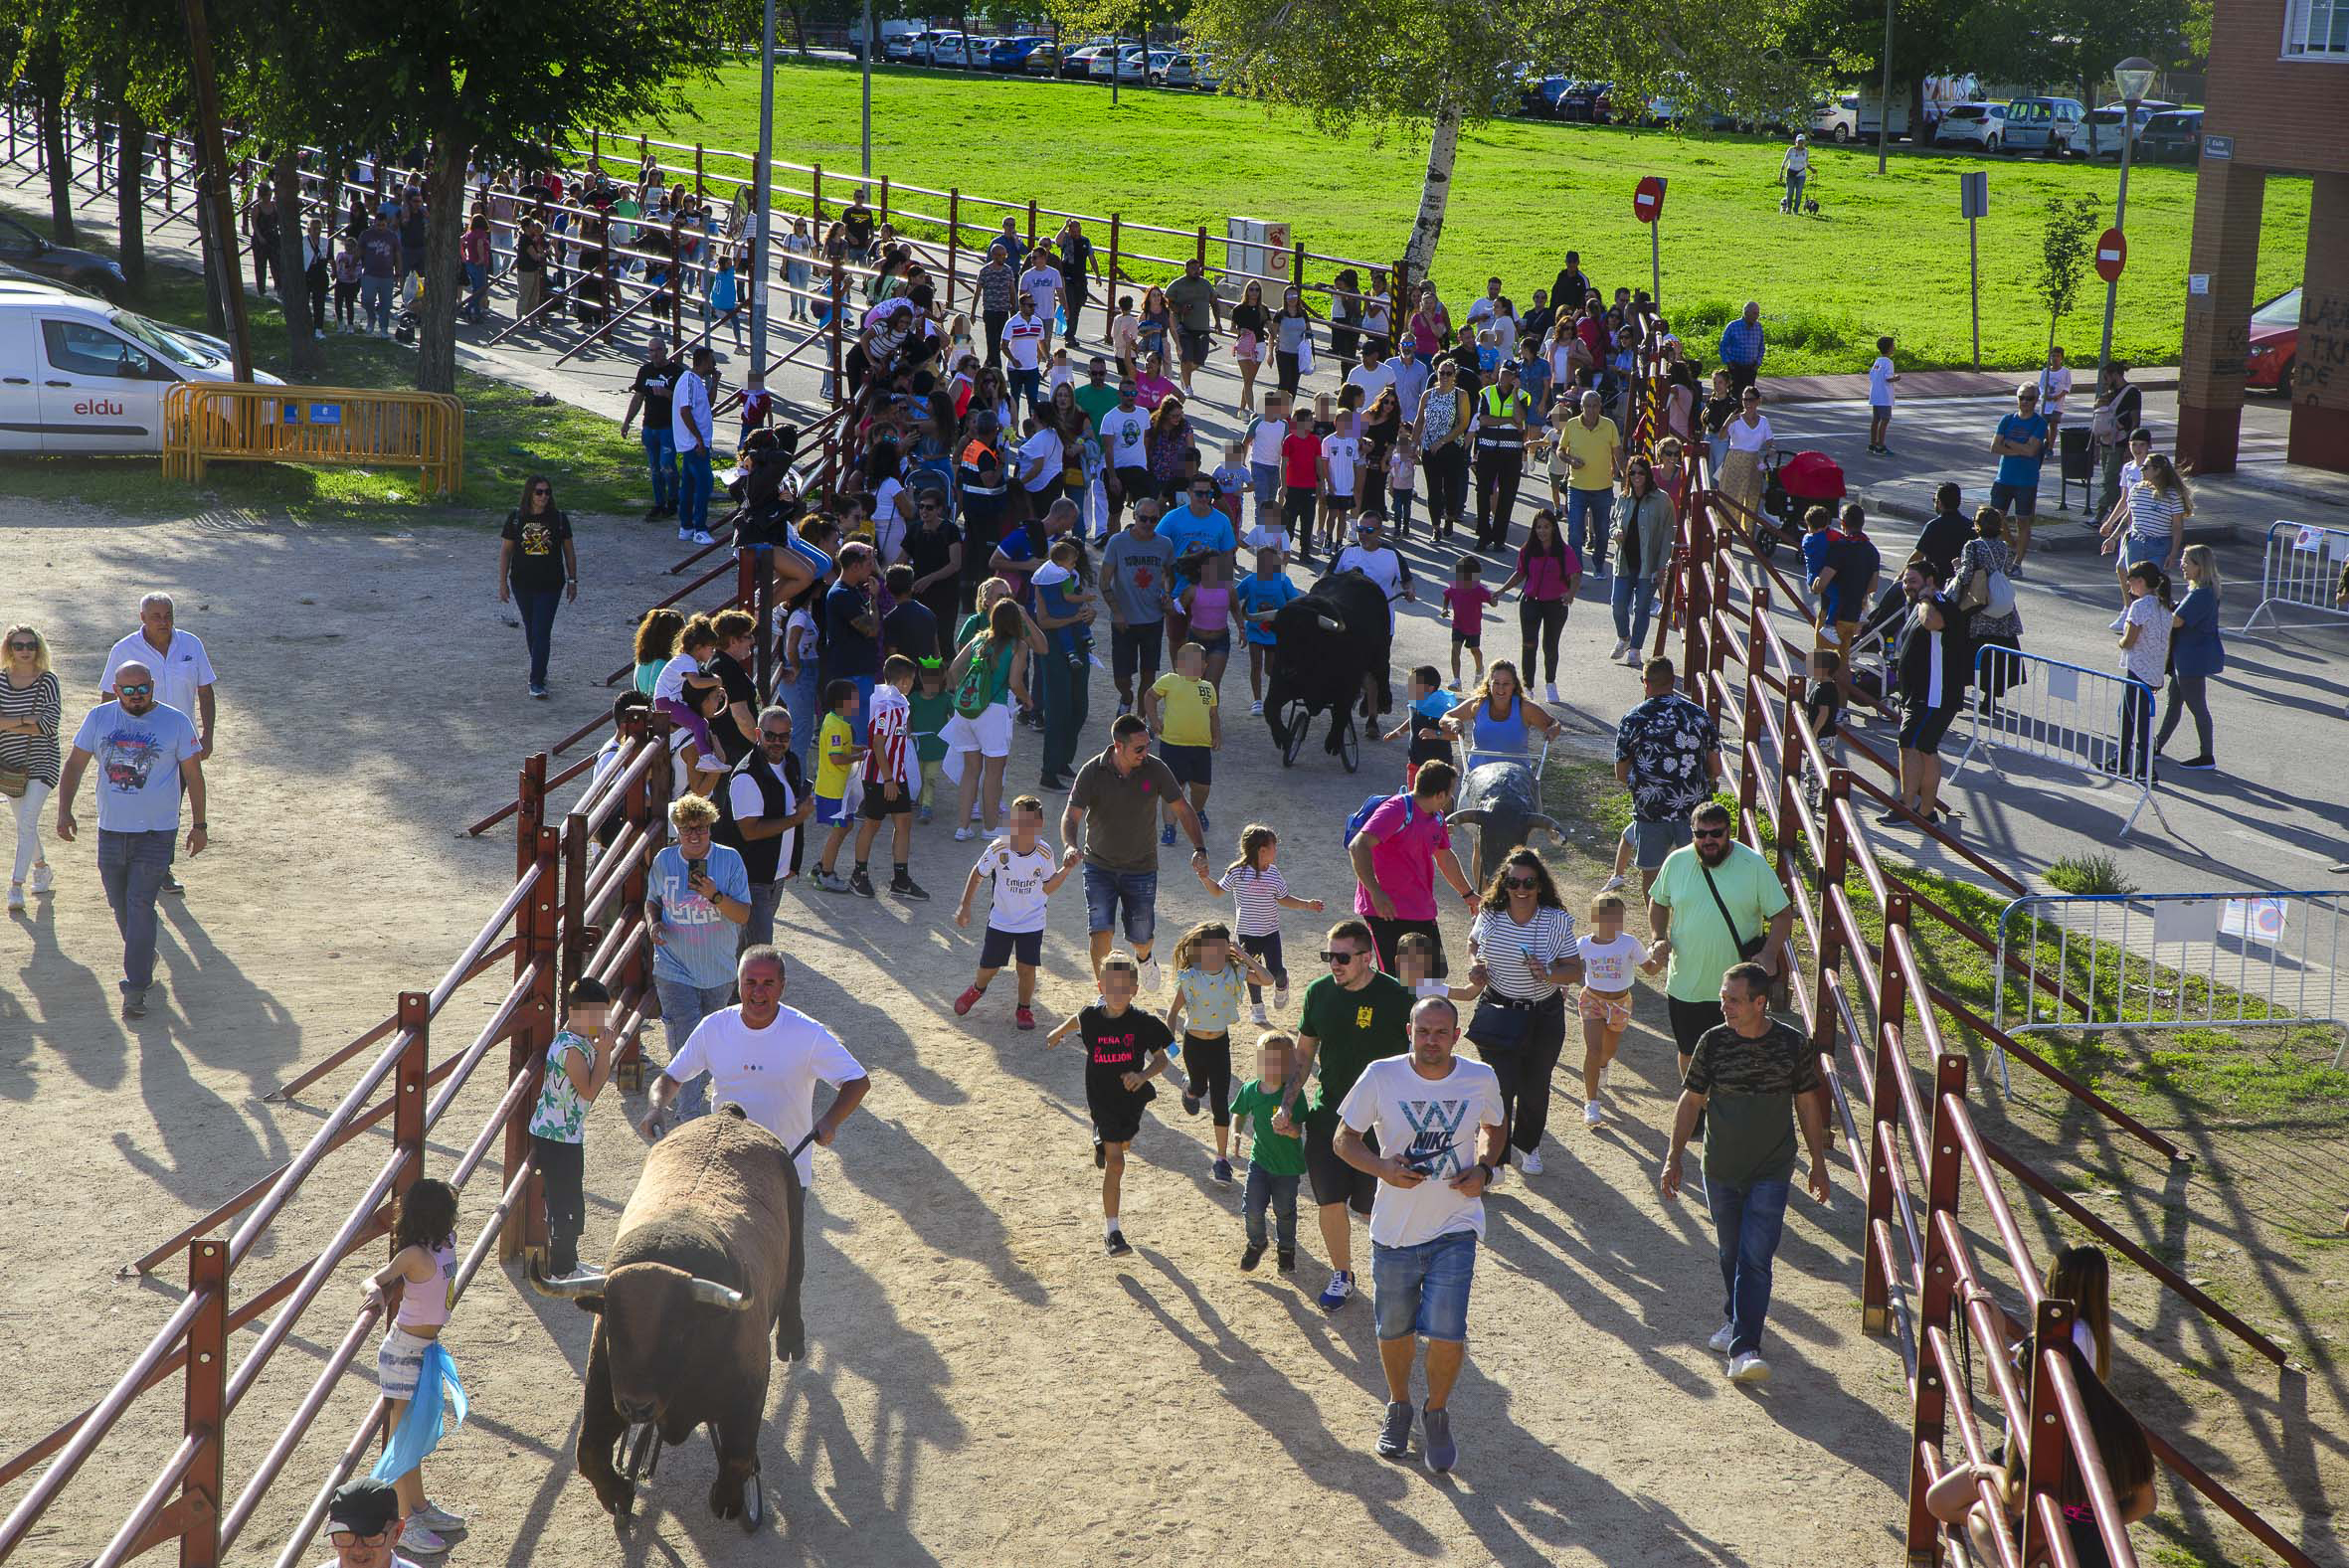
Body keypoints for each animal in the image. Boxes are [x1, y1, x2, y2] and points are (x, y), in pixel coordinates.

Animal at [537, 1103, 813, 1530]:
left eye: (680, 1332)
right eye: (612, 1325)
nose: (637, 1408)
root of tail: (731, 1115)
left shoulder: (747, 1394)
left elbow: (739, 1457)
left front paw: (729, 1499)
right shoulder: (604, 1387)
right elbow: (589, 1453)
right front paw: (619, 1493)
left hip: (796, 1232)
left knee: (795, 1282)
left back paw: (791, 1339)